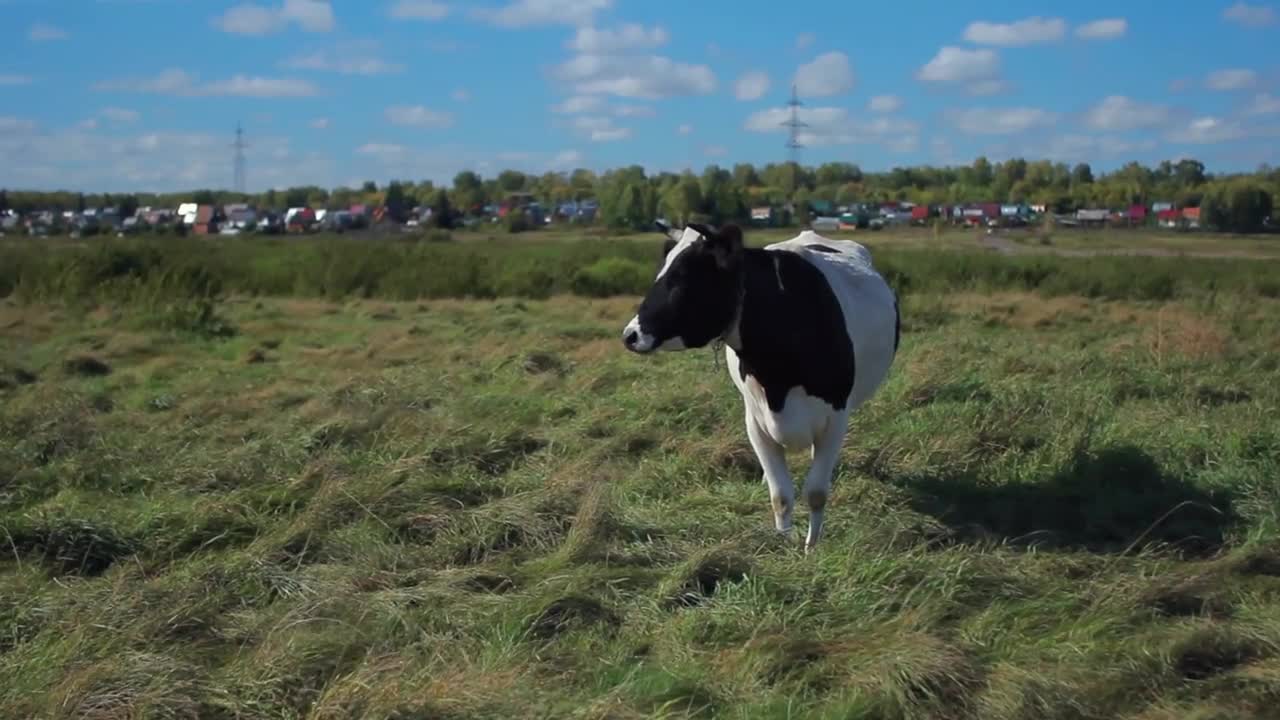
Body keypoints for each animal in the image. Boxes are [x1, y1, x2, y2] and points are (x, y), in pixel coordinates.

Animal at [619, 221, 901, 550]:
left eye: (682, 279)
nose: (630, 335)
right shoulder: (755, 421)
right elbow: (781, 495)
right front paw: (783, 540)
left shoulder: (835, 419)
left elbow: (816, 492)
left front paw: (811, 547)